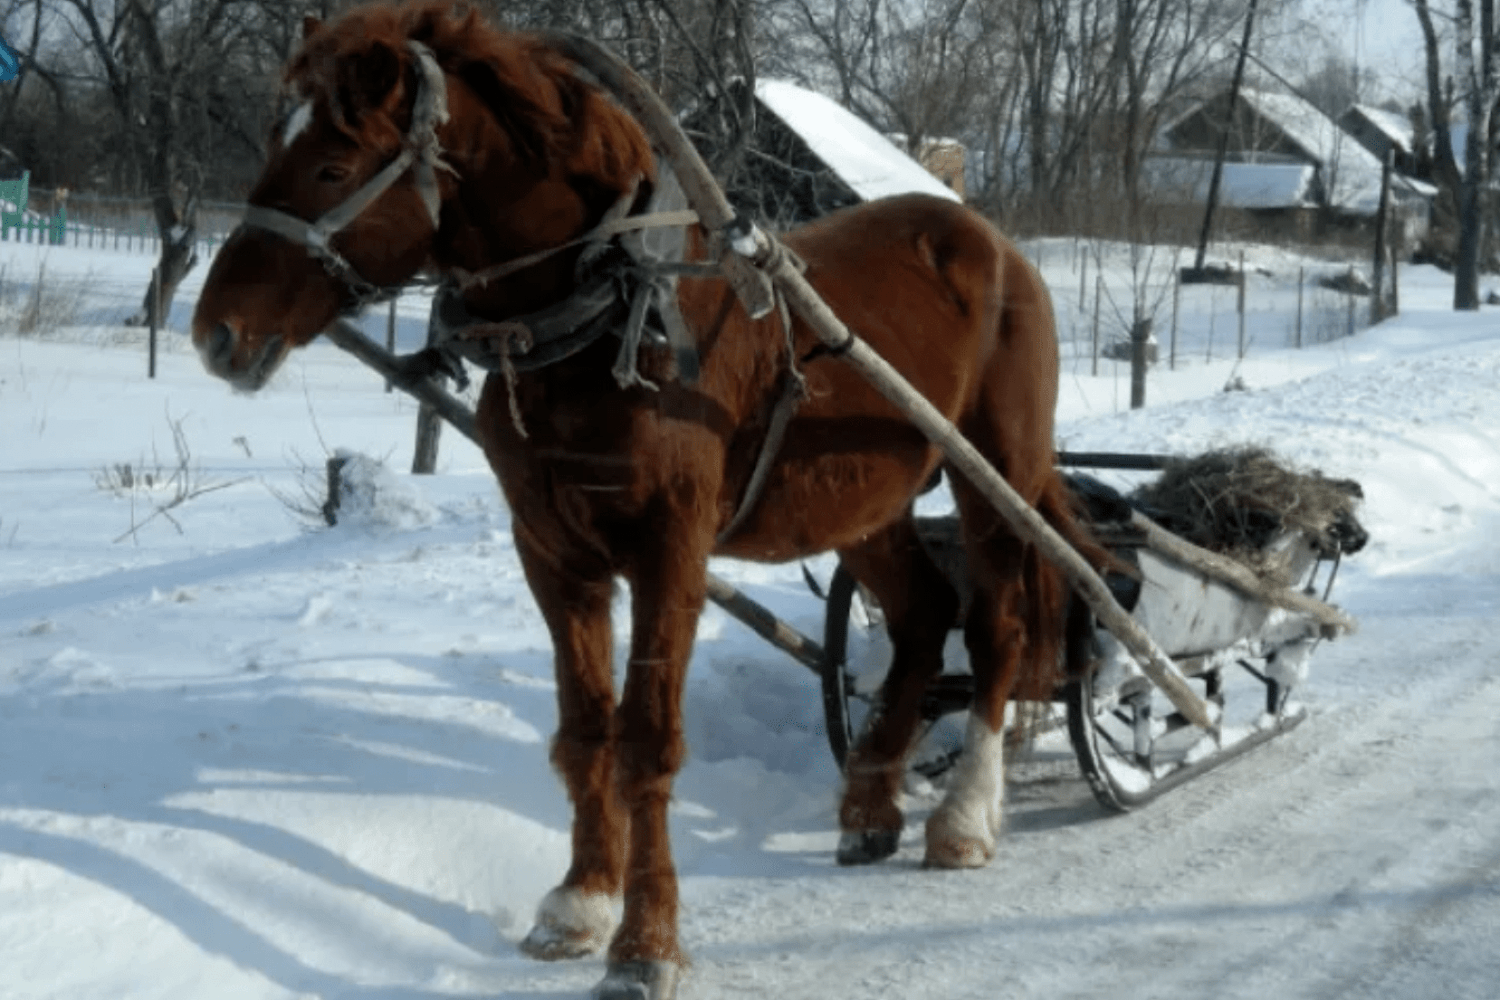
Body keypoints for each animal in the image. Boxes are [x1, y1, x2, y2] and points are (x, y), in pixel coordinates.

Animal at [190, 3, 1104, 995]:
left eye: (332, 164)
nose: (215, 335)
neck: (608, 315)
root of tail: (991, 242)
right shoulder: (554, 553)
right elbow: (586, 729)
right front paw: (580, 902)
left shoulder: (672, 552)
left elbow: (646, 739)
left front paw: (645, 942)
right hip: (865, 506)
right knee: (923, 617)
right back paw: (868, 806)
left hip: (994, 478)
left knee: (997, 627)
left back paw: (964, 818)